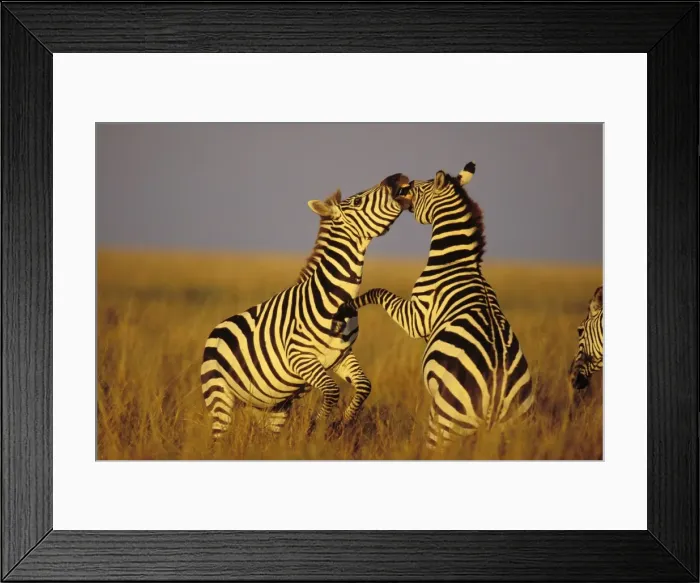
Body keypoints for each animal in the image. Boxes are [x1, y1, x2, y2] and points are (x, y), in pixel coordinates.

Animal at [200, 173, 413, 440]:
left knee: (265, 438)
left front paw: (342, 423)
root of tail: (215, 330)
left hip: (271, 406)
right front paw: (315, 428)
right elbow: (332, 391)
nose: (399, 177)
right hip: (219, 395)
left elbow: (364, 386)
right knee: (219, 437)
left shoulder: (341, 355)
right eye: (358, 201)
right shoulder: (299, 357)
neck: (336, 302)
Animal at [333, 162, 534, 450]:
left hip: (444, 420)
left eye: (416, 188)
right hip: (515, 428)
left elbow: (378, 292)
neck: (457, 263)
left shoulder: (417, 316)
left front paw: (348, 305)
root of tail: (496, 393)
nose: (401, 185)